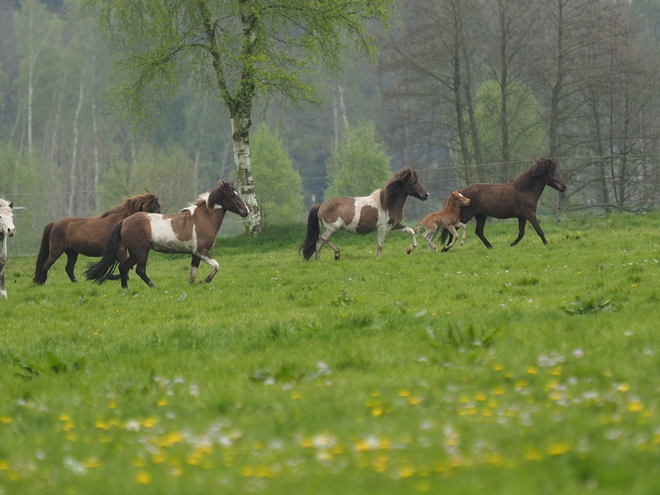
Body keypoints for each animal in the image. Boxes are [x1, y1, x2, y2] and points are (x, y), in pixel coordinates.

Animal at [33, 194, 161, 286]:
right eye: (155, 209)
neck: (122, 222)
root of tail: (54, 224)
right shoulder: (120, 250)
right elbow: (124, 266)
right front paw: (113, 277)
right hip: (56, 251)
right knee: (46, 265)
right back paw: (40, 283)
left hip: (72, 253)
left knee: (68, 268)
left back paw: (76, 283)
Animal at [83, 182, 248, 290]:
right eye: (232, 195)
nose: (245, 211)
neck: (202, 219)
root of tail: (124, 221)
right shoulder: (201, 251)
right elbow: (216, 266)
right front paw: (204, 281)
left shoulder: (195, 253)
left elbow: (193, 272)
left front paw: (193, 285)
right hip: (142, 251)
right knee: (139, 270)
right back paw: (153, 287)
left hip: (135, 252)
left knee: (124, 267)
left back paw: (125, 290)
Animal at [300, 167, 428, 262]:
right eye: (413, 182)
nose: (426, 195)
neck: (387, 204)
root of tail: (321, 205)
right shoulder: (381, 228)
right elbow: (380, 244)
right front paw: (378, 258)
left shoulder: (395, 226)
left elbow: (411, 231)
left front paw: (409, 249)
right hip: (333, 228)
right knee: (324, 239)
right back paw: (337, 254)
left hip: (328, 229)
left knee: (318, 244)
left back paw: (319, 260)